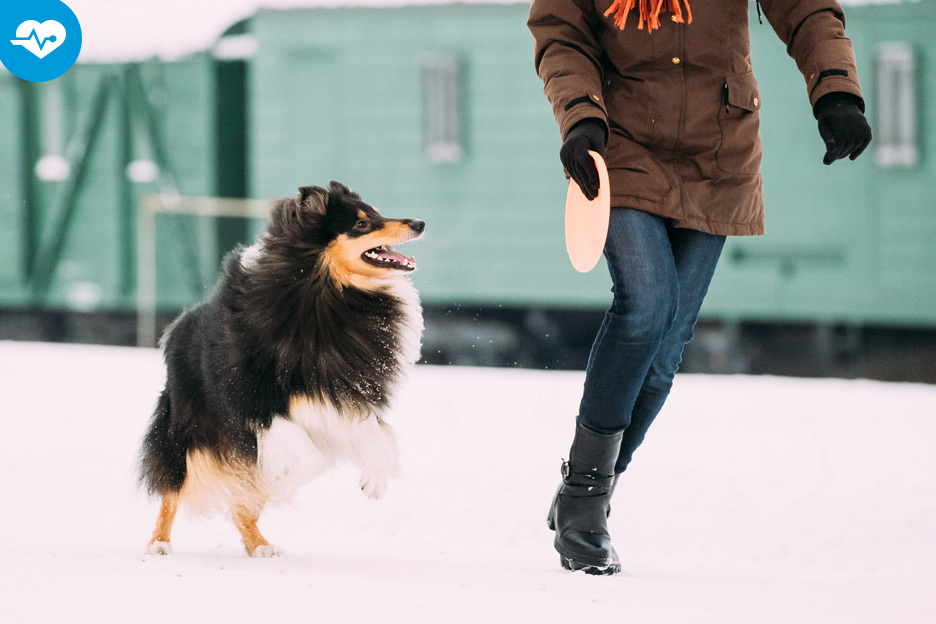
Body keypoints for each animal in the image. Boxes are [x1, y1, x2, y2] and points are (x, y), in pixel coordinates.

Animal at [138, 180, 424, 556]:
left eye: (377, 212)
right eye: (362, 224)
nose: (419, 223)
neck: (331, 295)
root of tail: (176, 328)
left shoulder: (346, 390)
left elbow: (371, 433)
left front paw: (374, 480)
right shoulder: (257, 405)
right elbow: (308, 460)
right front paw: (284, 476)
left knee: (240, 506)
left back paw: (260, 546)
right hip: (189, 429)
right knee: (174, 489)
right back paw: (158, 544)